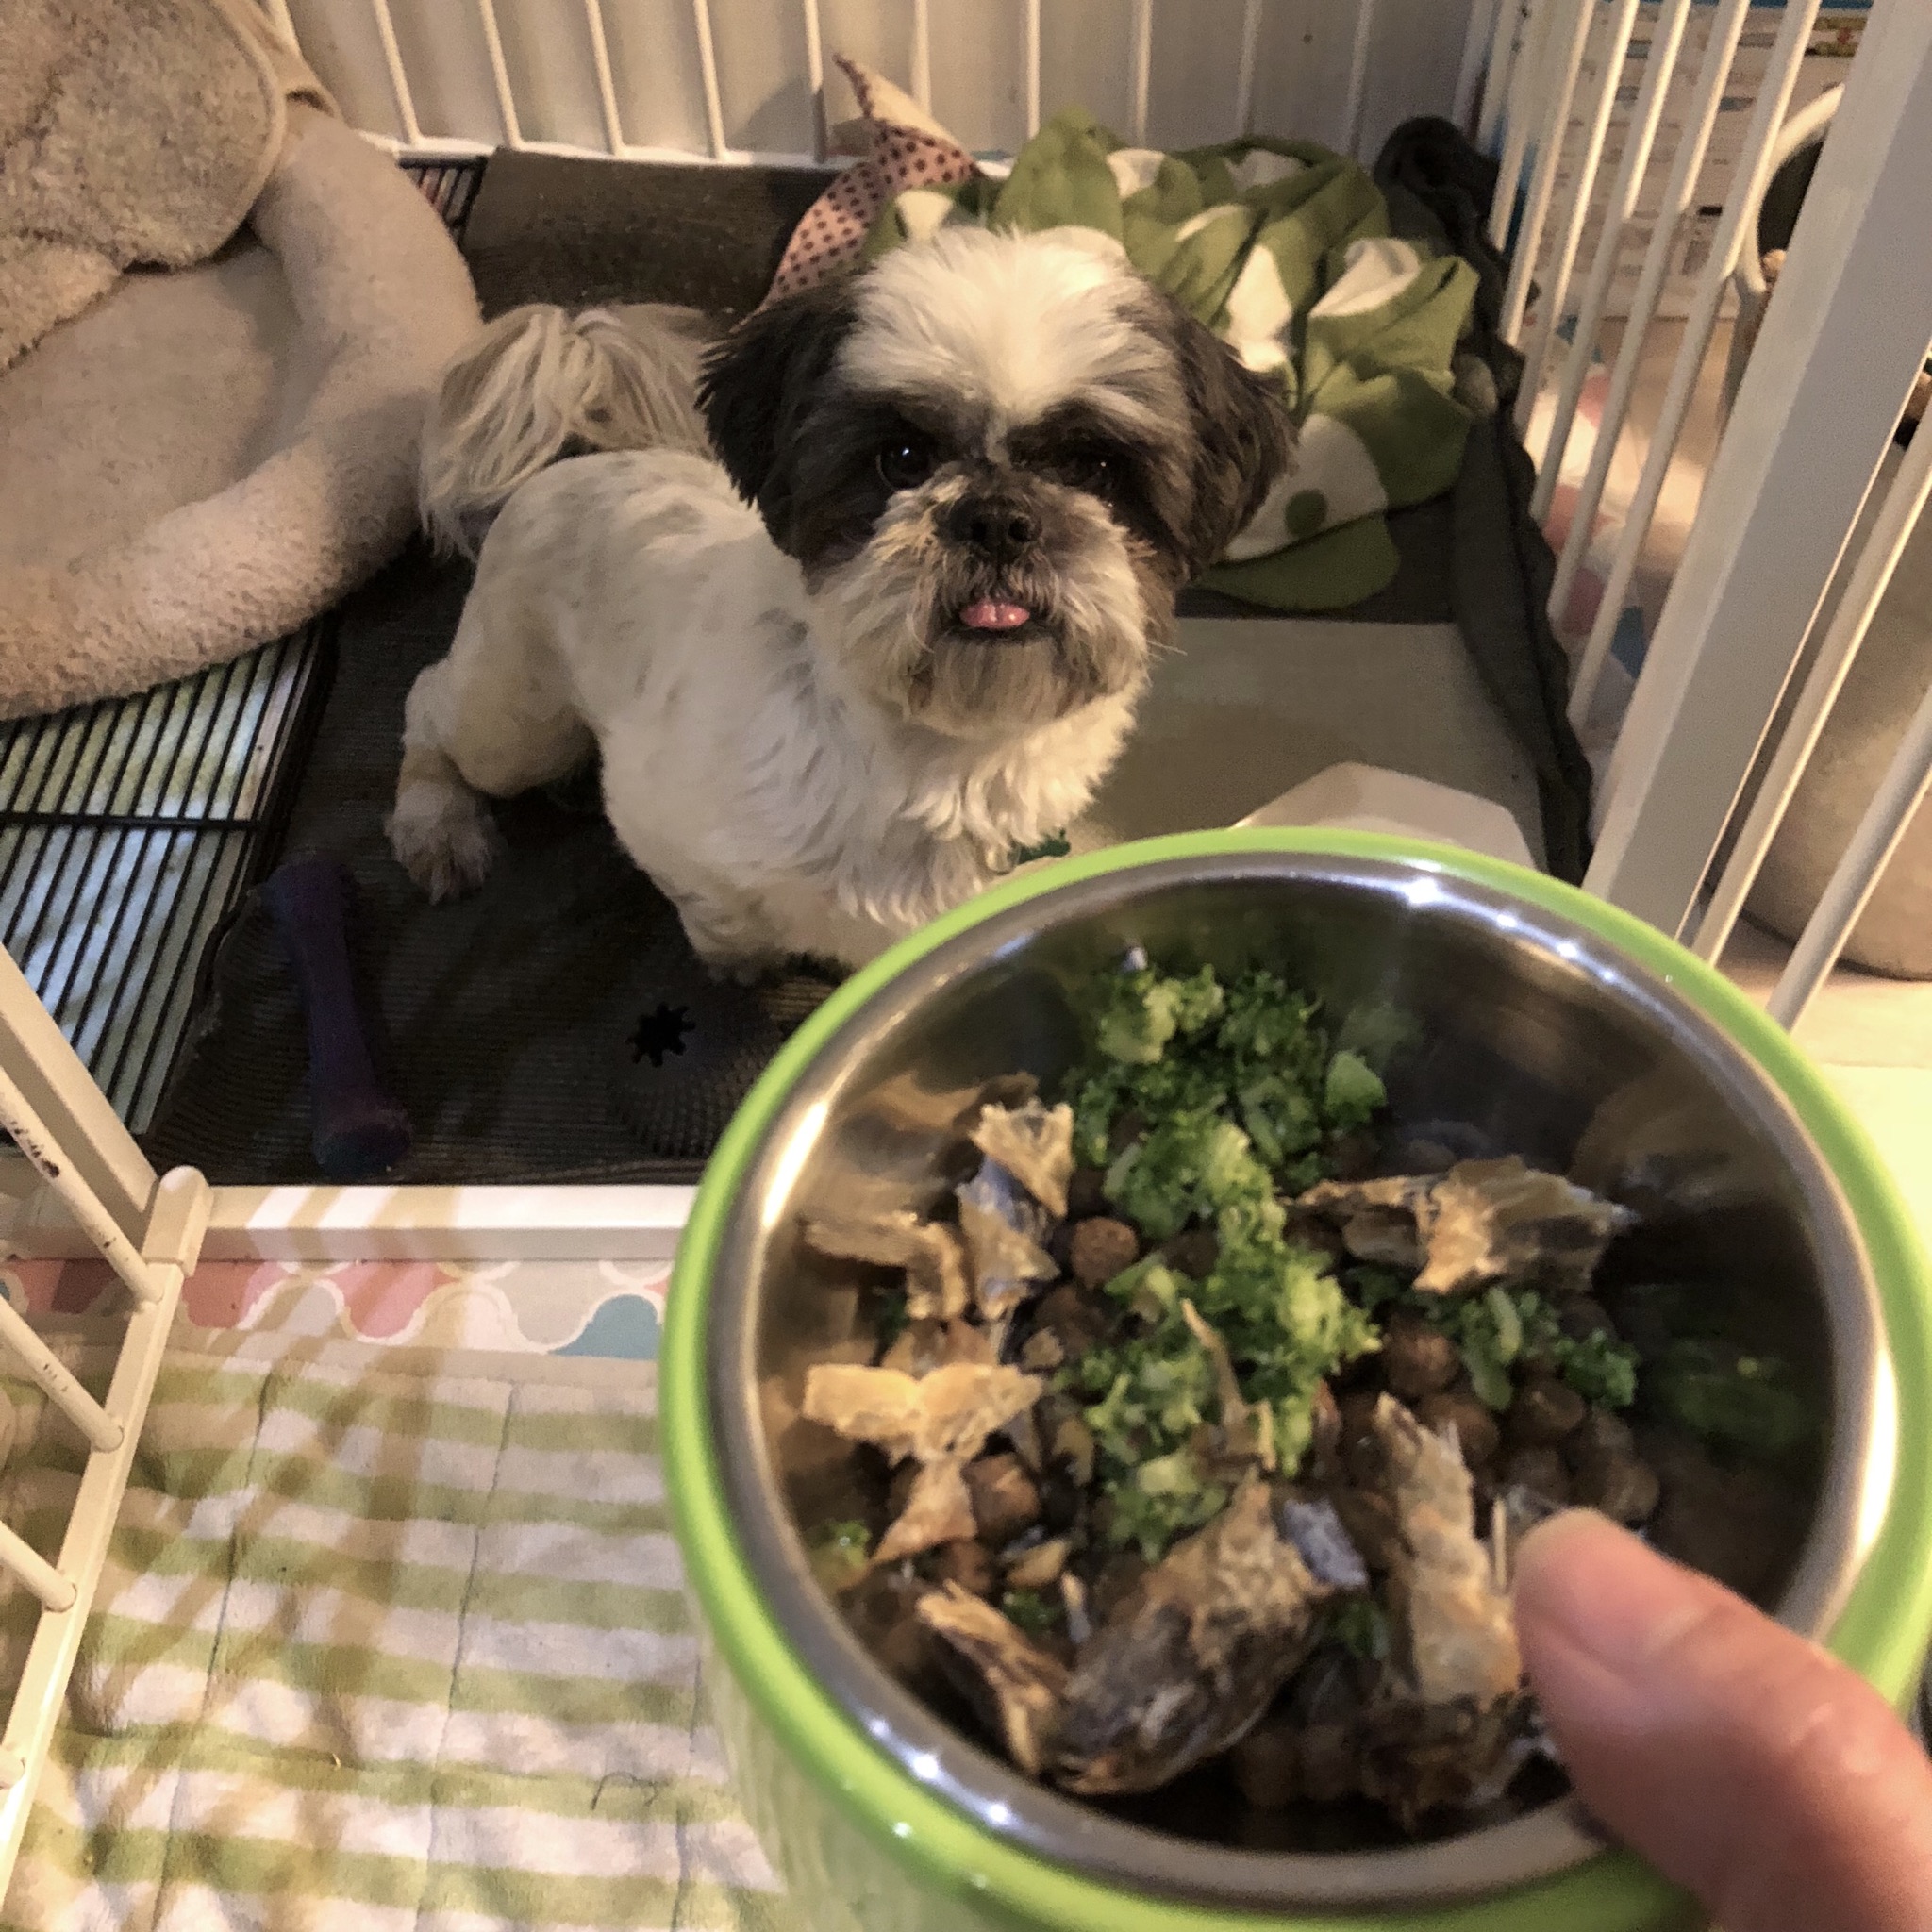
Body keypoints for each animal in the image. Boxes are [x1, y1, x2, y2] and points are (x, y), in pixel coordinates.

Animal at [390, 226, 1292, 971]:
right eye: (902, 459)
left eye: (1093, 469)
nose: (998, 519)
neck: (943, 758)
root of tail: (573, 458)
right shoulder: (663, 829)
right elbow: (723, 924)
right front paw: (750, 960)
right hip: (516, 721)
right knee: (430, 706)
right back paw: (438, 825)